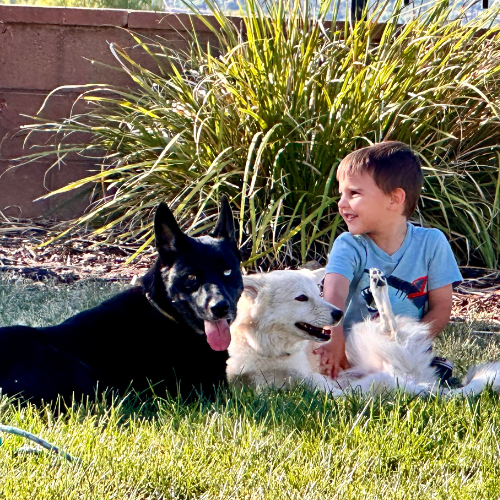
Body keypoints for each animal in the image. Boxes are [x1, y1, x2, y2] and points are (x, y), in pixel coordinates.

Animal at [229, 268, 500, 396]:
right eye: (301, 298)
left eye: (319, 294)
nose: (338, 314)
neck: (264, 349)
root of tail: (419, 381)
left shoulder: (309, 375)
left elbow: (322, 386)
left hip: (363, 332)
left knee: (390, 326)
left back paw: (378, 284)